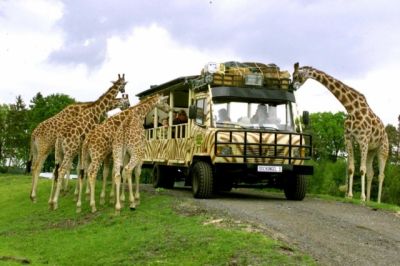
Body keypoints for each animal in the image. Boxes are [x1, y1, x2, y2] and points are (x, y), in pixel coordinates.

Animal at [48, 73, 128, 210]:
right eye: (124, 84)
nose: (128, 105)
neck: (96, 111)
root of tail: (60, 138)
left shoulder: (83, 147)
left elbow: (81, 169)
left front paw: (82, 195)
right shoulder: (84, 145)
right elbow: (84, 169)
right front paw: (86, 195)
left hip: (59, 152)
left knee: (56, 170)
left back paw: (50, 200)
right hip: (70, 150)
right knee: (62, 169)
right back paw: (55, 202)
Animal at [292, 63, 390, 203]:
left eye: (296, 76)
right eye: (292, 75)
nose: (292, 86)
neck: (352, 109)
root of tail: (386, 134)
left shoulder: (363, 139)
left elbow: (362, 170)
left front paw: (361, 197)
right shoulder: (348, 138)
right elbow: (351, 168)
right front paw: (350, 196)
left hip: (383, 149)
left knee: (381, 174)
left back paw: (377, 201)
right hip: (372, 150)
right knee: (371, 173)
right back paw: (369, 199)